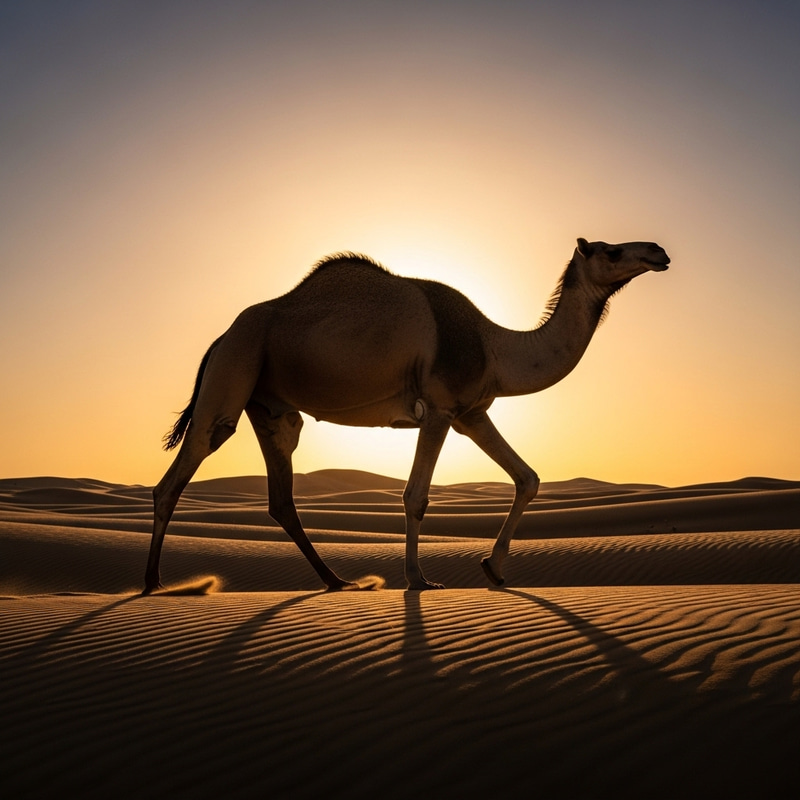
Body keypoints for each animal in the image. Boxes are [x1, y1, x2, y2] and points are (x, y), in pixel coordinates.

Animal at [143, 238, 669, 594]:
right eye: (611, 251)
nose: (658, 251)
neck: (495, 346)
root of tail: (219, 338)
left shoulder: (471, 413)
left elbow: (528, 477)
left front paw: (494, 569)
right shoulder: (438, 409)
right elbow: (415, 496)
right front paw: (418, 579)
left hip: (270, 406)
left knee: (281, 497)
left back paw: (336, 581)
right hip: (236, 367)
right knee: (183, 468)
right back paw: (152, 584)